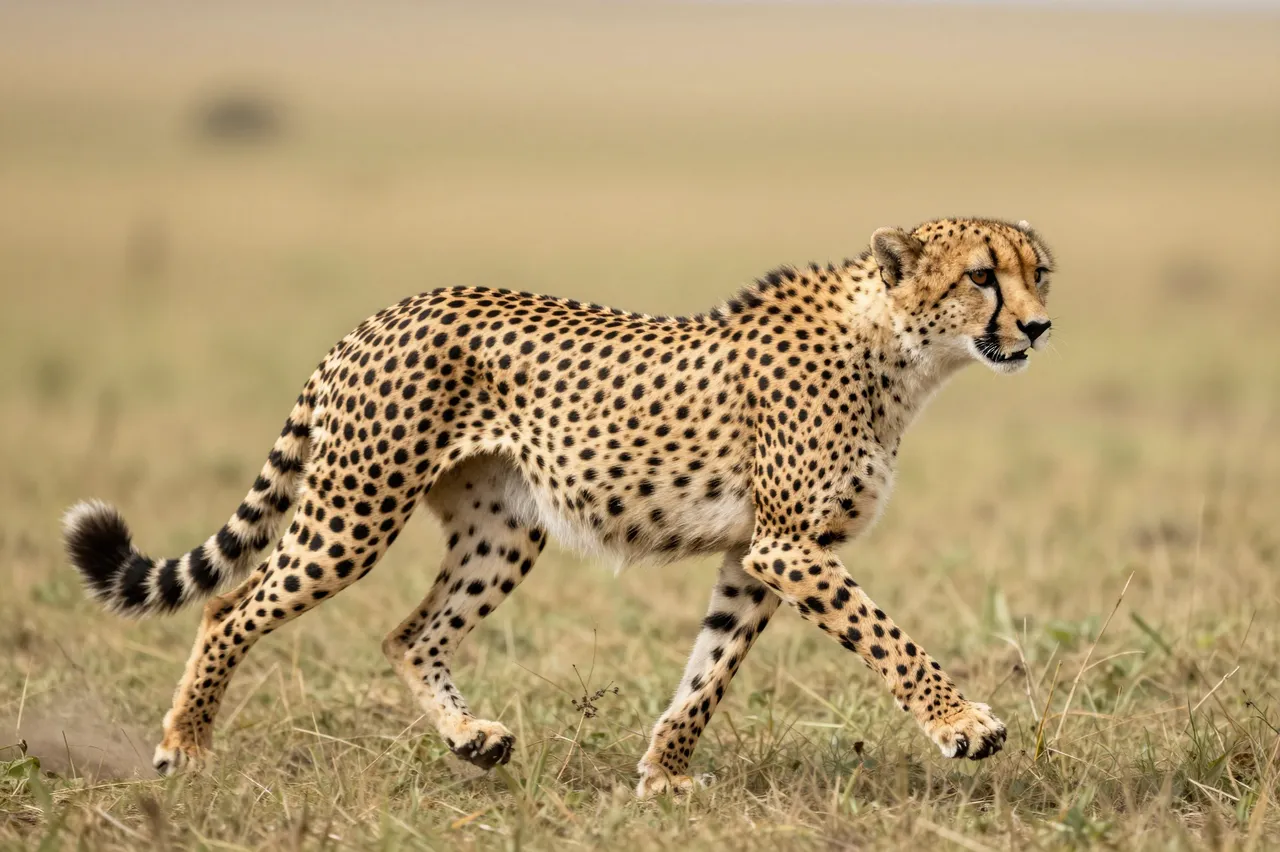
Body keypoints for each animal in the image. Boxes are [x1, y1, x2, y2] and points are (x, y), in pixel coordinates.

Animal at [62, 216, 1054, 798]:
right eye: (981, 278)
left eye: (1039, 273)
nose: (1039, 326)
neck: (899, 348)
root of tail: (383, 314)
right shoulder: (791, 547)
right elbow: (890, 638)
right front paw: (963, 725)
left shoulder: (755, 555)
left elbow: (711, 671)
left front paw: (665, 773)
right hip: (353, 513)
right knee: (232, 607)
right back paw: (185, 747)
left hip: (504, 529)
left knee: (409, 633)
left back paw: (471, 739)